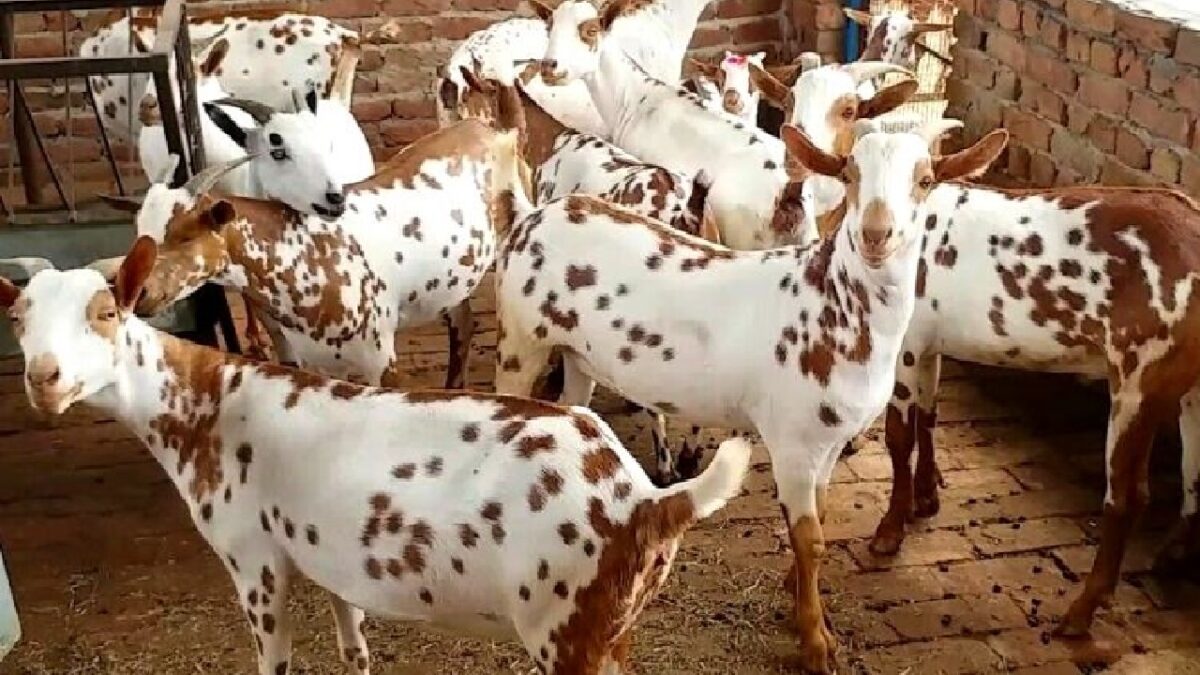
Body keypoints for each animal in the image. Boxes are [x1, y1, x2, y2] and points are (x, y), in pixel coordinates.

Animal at [0, 237, 751, 675]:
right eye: (19, 320)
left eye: (105, 313)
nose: (44, 378)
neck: (203, 402)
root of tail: (649, 500)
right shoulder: (326, 554)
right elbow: (351, 641)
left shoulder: (252, 559)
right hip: (612, 625)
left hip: (566, 628)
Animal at [492, 121, 1008, 672]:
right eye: (849, 175)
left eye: (926, 180)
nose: (875, 234)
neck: (834, 308)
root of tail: (532, 216)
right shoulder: (793, 441)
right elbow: (811, 539)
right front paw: (815, 641)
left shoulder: (829, 442)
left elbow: (821, 515)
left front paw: (799, 598)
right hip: (521, 339)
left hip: (575, 356)